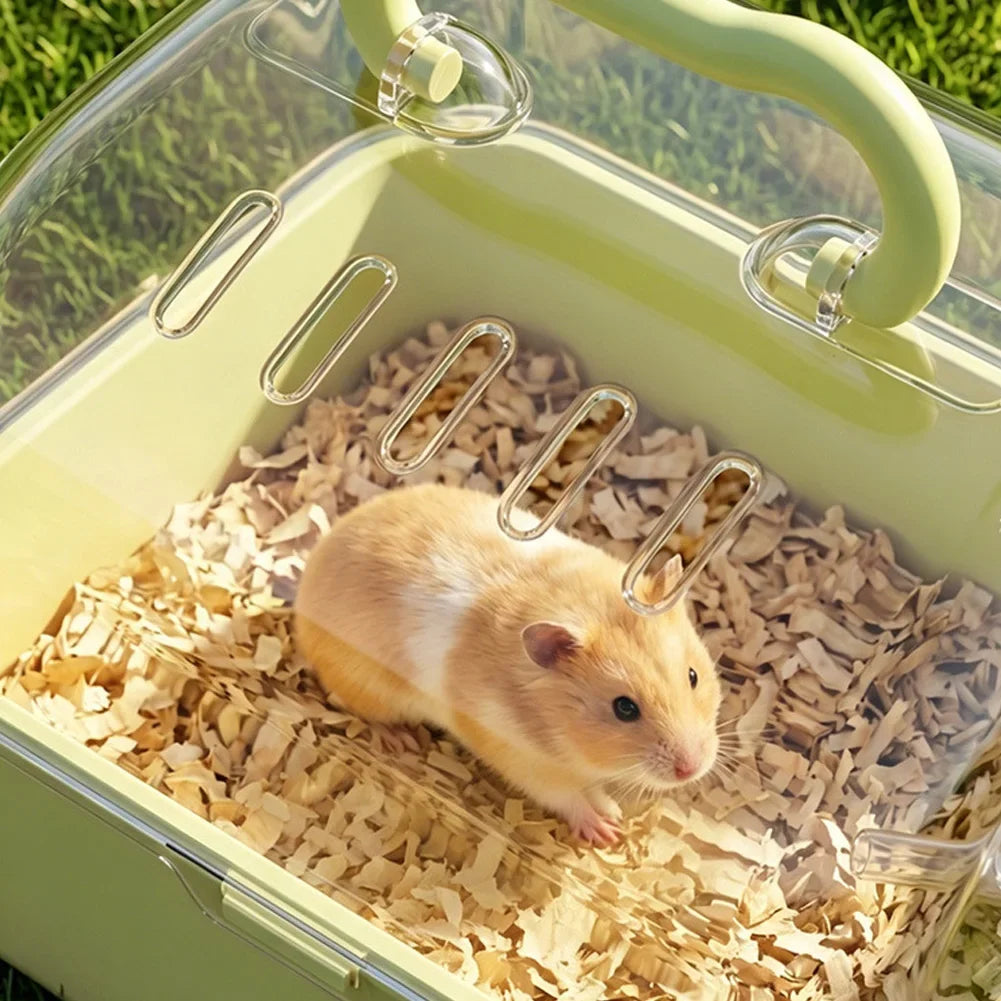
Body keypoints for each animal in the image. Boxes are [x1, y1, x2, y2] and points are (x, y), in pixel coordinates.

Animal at [294, 483, 721, 845]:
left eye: (693, 676)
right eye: (624, 708)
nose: (693, 768)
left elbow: (592, 789)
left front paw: (613, 813)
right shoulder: (520, 758)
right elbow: (565, 795)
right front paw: (606, 830)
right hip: (365, 686)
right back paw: (399, 739)